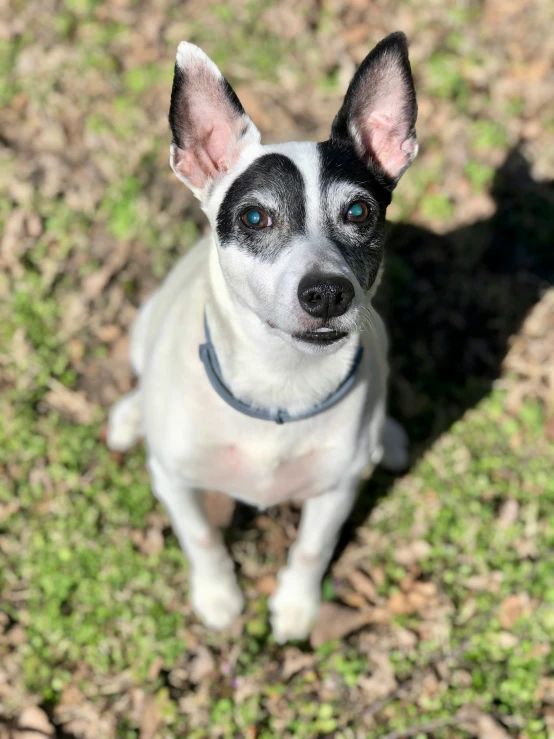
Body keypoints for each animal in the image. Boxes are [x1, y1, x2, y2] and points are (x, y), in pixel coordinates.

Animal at [108, 30, 416, 640]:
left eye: (358, 211)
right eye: (254, 218)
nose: (327, 293)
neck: (281, 380)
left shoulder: (336, 491)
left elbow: (313, 548)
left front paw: (297, 607)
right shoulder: (175, 481)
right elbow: (201, 536)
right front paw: (218, 597)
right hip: (141, 324)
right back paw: (130, 416)